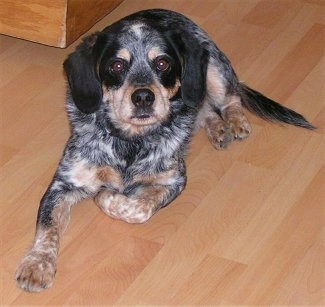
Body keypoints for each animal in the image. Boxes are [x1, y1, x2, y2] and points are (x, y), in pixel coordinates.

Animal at [15, 8, 314, 292]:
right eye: (117, 65)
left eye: (162, 62)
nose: (143, 97)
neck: (131, 143)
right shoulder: (64, 183)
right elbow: (47, 229)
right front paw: (37, 266)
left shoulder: (174, 180)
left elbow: (139, 208)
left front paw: (107, 198)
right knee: (204, 109)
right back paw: (219, 129)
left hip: (214, 72)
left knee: (227, 99)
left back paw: (235, 123)